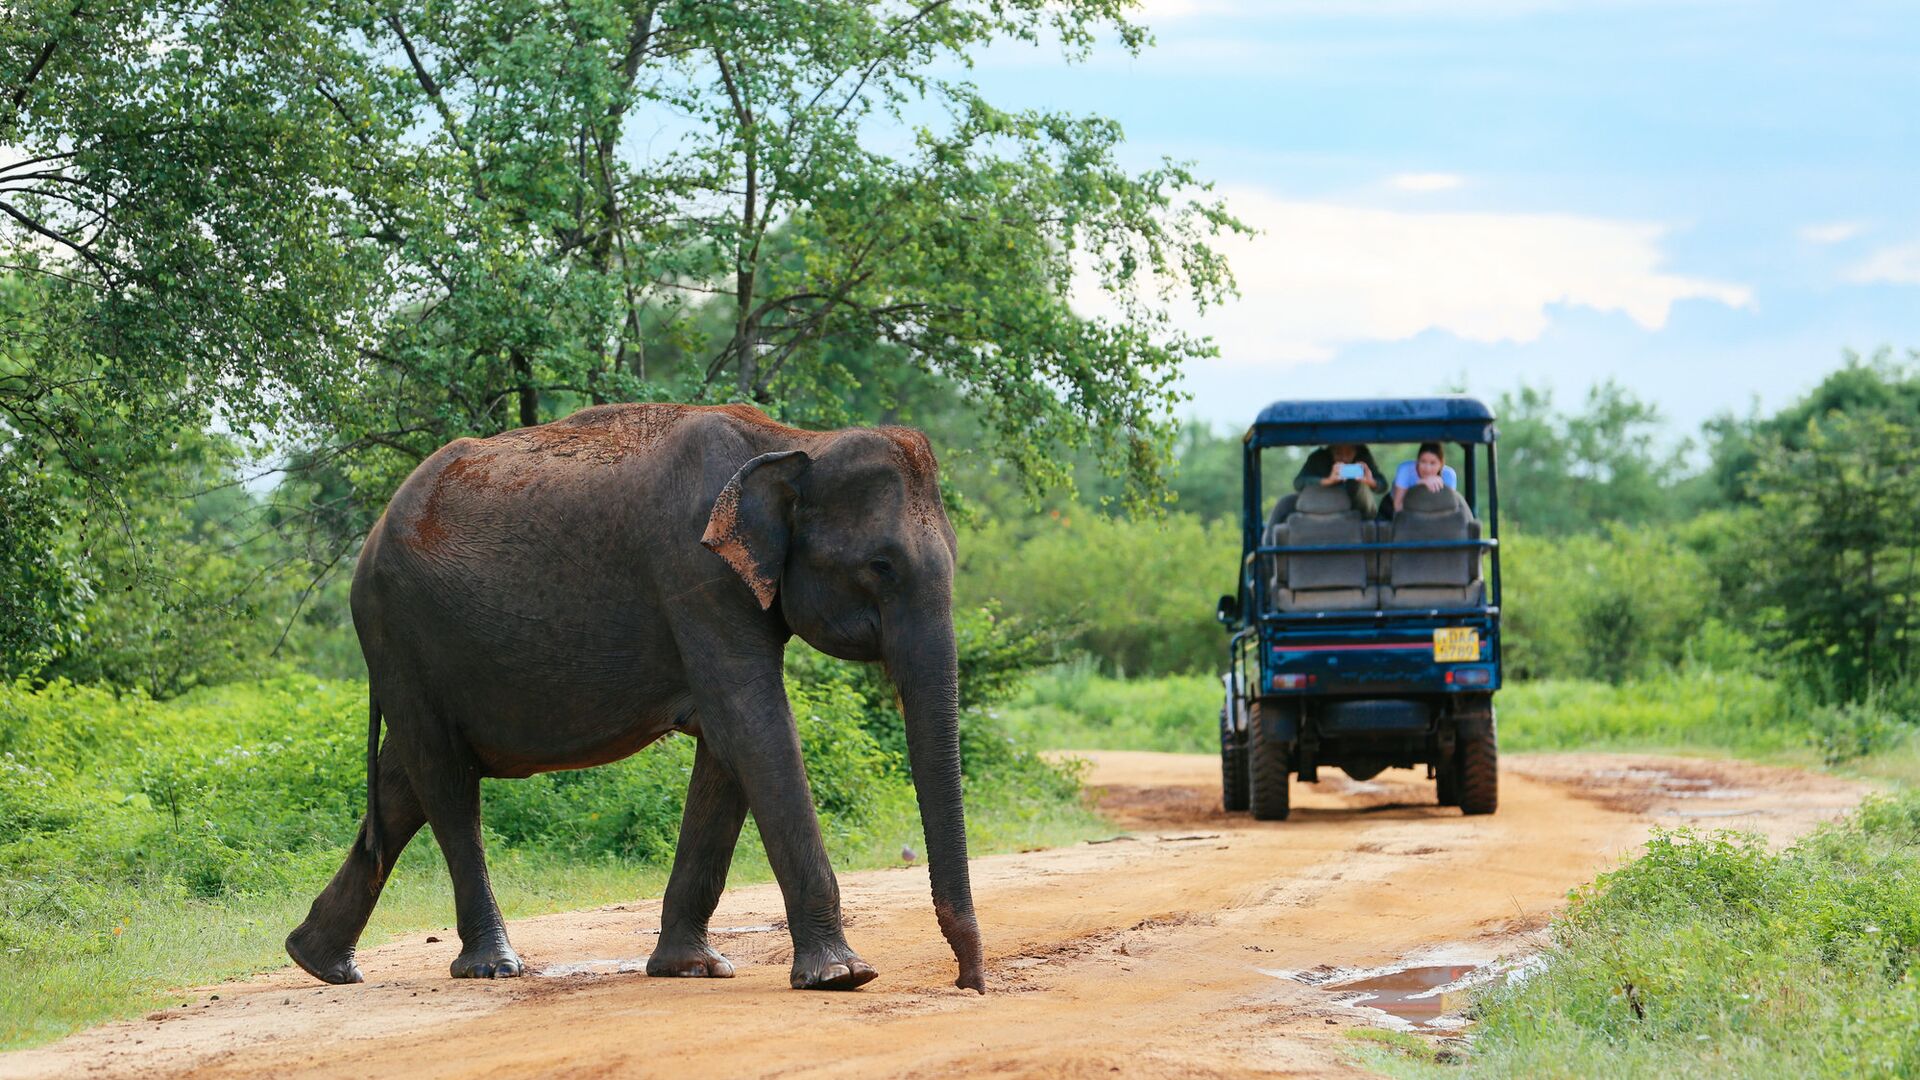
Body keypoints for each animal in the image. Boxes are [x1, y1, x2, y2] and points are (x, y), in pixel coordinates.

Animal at [284, 399, 990, 991]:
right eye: (881, 566)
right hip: (397, 627)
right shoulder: (693, 570)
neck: (795, 441)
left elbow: (728, 746)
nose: (968, 984)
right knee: (444, 777)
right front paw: (842, 977)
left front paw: (692, 969)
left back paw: (320, 963)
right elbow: (752, 724)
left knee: (406, 776)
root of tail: (376, 530)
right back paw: (491, 967)